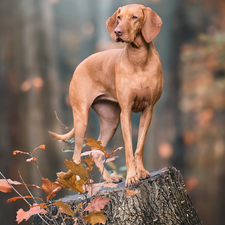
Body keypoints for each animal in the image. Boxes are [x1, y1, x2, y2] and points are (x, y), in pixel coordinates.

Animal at [49, 4, 163, 187]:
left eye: (134, 17)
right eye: (119, 17)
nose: (117, 31)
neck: (138, 58)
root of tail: (79, 65)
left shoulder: (148, 110)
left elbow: (139, 147)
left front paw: (142, 172)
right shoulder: (126, 112)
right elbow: (129, 149)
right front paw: (132, 177)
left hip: (111, 121)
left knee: (95, 153)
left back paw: (110, 180)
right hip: (82, 118)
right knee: (76, 157)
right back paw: (83, 186)